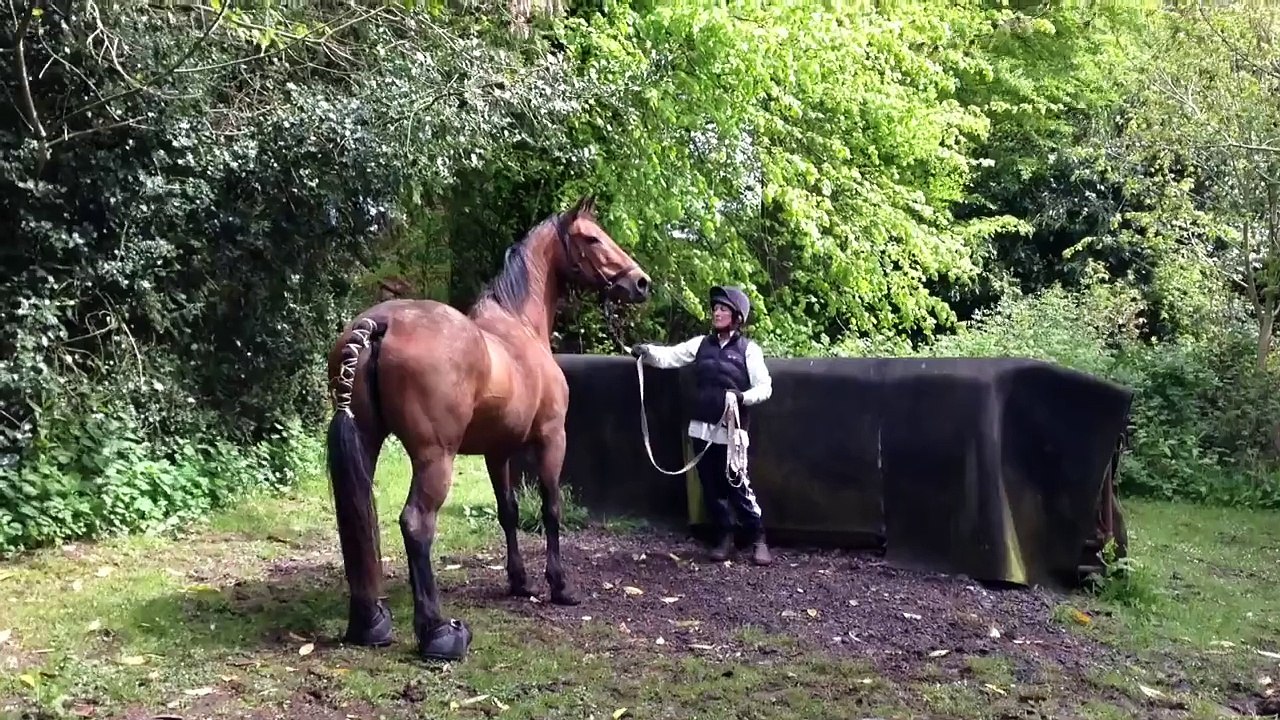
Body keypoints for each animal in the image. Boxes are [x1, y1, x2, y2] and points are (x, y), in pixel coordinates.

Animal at [323, 195, 651, 662]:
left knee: (359, 519)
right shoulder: (552, 440)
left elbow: (508, 511)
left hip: (367, 444)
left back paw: (370, 622)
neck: (520, 327)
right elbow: (551, 510)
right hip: (435, 459)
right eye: (592, 238)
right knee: (416, 523)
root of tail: (379, 325)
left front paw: (519, 580)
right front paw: (559, 586)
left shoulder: (499, 453)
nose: (640, 283)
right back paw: (438, 633)